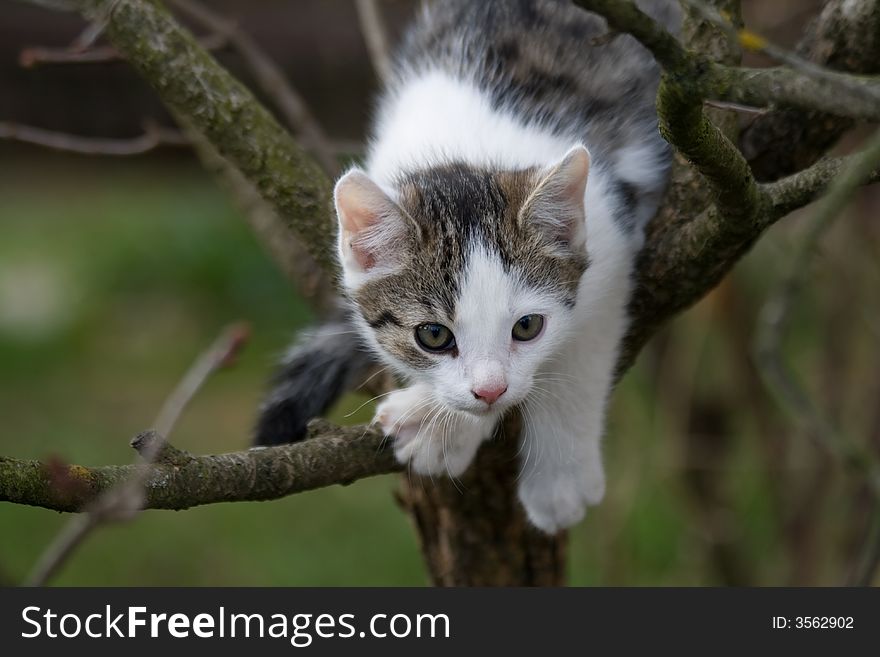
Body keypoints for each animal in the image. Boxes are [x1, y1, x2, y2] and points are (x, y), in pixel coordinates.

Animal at [254, 0, 680, 532]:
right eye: (433, 336)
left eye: (528, 327)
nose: (490, 391)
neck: (466, 147)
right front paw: (446, 422)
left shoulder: (609, 237)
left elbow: (580, 357)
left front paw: (560, 480)